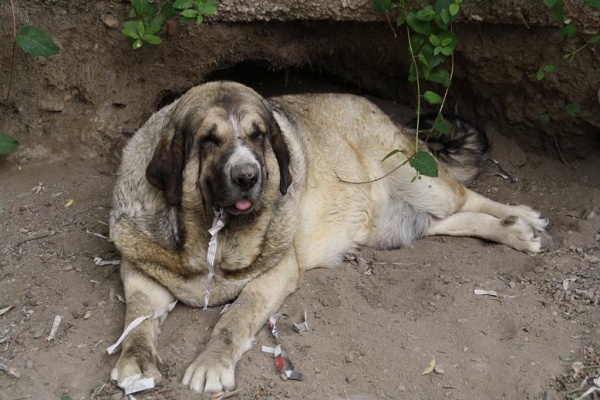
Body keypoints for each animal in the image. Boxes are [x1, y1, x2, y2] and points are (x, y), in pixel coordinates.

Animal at [108, 79, 548, 392]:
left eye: (258, 135)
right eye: (209, 139)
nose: (248, 176)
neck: (208, 232)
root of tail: (376, 107)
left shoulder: (276, 273)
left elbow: (236, 316)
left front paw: (211, 363)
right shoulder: (139, 272)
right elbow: (136, 318)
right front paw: (134, 360)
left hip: (416, 177)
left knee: (464, 197)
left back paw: (521, 219)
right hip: (390, 223)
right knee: (447, 220)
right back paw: (511, 229)